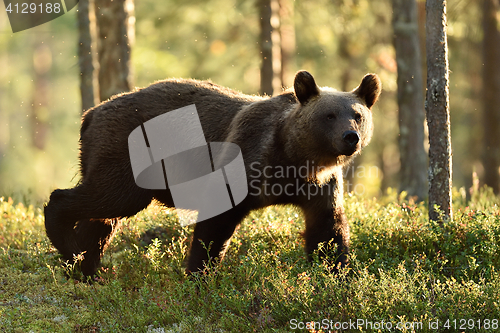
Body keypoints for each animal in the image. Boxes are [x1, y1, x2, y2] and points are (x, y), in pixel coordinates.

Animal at [44, 70, 378, 274]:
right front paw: (200, 273)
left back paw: (85, 267)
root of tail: (90, 114)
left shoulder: (320, 186)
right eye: (329, 115)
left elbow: (328, 230)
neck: (296, 158)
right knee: (107, 197)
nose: (350, 137)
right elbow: (215, 225)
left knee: (102, 218)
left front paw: (335, 273)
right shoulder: (246, 160)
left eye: (358, 115)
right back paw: (68, 244)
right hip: (125, 154)